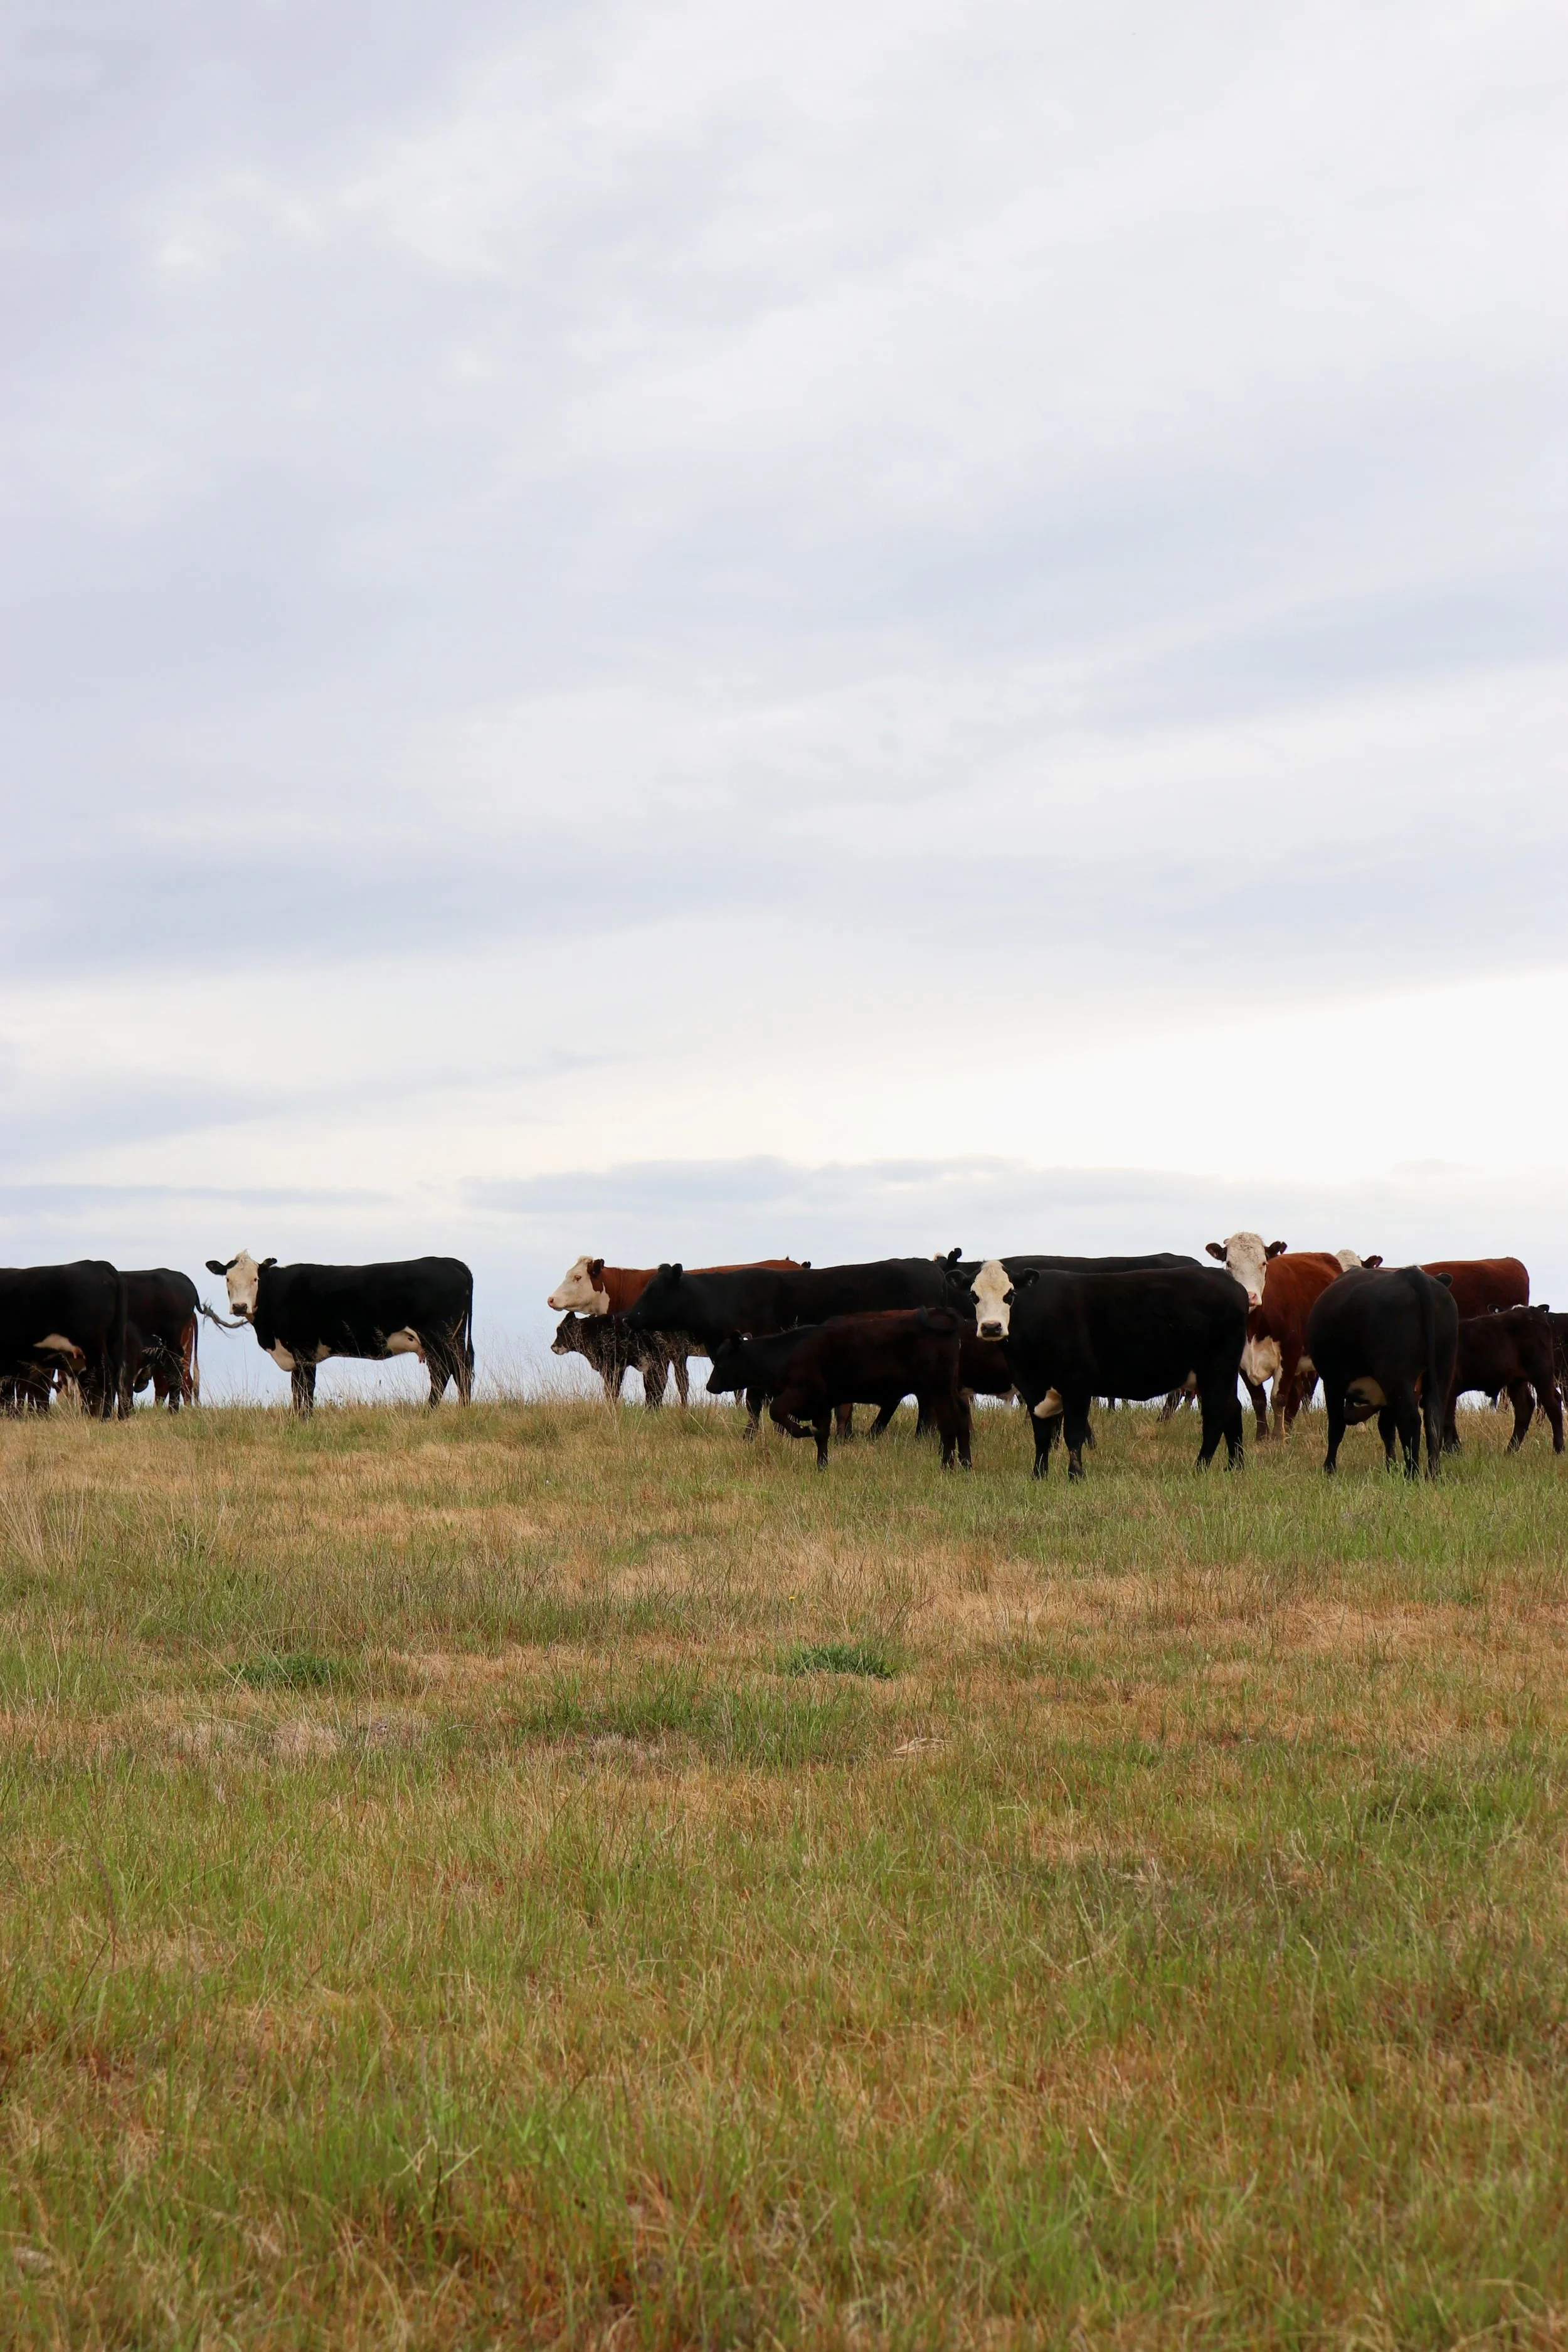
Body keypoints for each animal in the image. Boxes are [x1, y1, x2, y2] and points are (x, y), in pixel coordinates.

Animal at [203, 1252, 474, 1416]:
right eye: (228, 1279)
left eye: (255, 1279)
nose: (240, 1307)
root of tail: (449, 1262)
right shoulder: (296, 1354)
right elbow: (296, 1389)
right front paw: (296, 1417)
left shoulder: (304, 1350)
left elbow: (306, 1387)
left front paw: (306, 1419)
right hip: (454, 1337)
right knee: (462, 1369)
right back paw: (463, 1408)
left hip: (437, 1337)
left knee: (445, 1372)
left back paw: (430, 1412)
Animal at [765, 1310, 972, 1469]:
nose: (780, 1435)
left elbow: (841, 1413)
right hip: (948, 1388)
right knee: (961, 1413)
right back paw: (965, 1464)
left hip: (938, 1389)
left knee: (947, 1419)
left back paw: (947, 1465)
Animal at [1004, 1266, 1246, 1480]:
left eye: (1010, 1295)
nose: (995, 1326)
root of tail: (1229, 1281)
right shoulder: (1032, 1389)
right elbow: (1042, 1436)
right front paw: (1038, 1476)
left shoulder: (1077, 1384)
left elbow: (1073, 1434)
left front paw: (1075, 1476)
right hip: (1223, 1376)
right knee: (1233, 1409)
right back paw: (1234, 1466)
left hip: (1216, 1371)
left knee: (1215, 1417)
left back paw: (1200, 1468)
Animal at [1304, 1264, 1459, 1479]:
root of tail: (1410, 1274)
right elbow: (1387, 1429)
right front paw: (1390, 1468)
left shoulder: (1334, 1382)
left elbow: (1336, 1426)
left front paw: (1329, 1469)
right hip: (1442, 1371)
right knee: (1433, 1419)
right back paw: (1432, 1475)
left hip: (1396, 1378)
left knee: (1411, 1421)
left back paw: (1411, 1474)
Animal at [1446, 1306, 1563, 1454]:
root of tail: (1531, 1311)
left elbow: (1446, 1422)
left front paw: (1453, 1452)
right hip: (1517, 1381)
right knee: (1524, 1408)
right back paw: (1510, 1451)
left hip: (1541, 1374)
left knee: (1553, 1404)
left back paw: (1558, 1449)